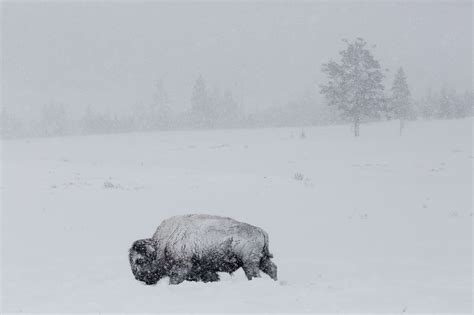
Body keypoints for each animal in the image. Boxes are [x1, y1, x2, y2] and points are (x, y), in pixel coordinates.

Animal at [130, 215, 278, 286]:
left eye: (139, 260)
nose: (138, 277)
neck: (162, 244)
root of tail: (260, 230)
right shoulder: (203, 269)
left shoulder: (183, 266)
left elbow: (175, 279)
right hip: (261, 260)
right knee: (272, 268)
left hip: (249, 263)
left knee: (255, 274)